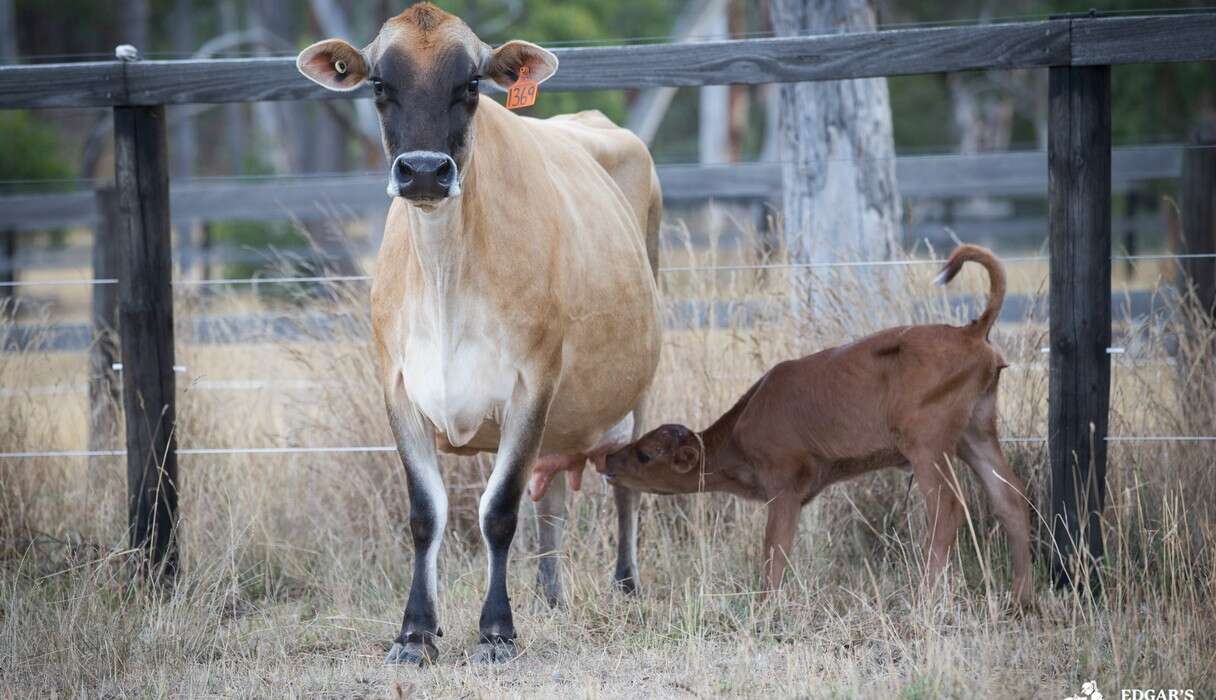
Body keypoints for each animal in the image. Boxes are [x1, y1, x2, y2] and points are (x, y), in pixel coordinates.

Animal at [296, 4, 666, 661]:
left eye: (470, 86)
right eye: (379, 85)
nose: (422, 171)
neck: (446, 278)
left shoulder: (532, 382)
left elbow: (498, 511)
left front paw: (496, 631)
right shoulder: (397, 386)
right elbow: (427, 513)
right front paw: (417, 631)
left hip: (638, 386)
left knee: (625, 487)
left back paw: (625, 587)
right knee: (554, 499)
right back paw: (550, 595)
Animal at [593, 244, 1031, 602]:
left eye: (645, 453)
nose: (609, 460)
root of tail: (971, 330)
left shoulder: (783, 487)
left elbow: (774, 550)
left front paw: (764, 608)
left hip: (929, 445)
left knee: (947, 510)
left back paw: (924, 603)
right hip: (976, 434)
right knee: (1010, 500)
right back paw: (1020, 601)